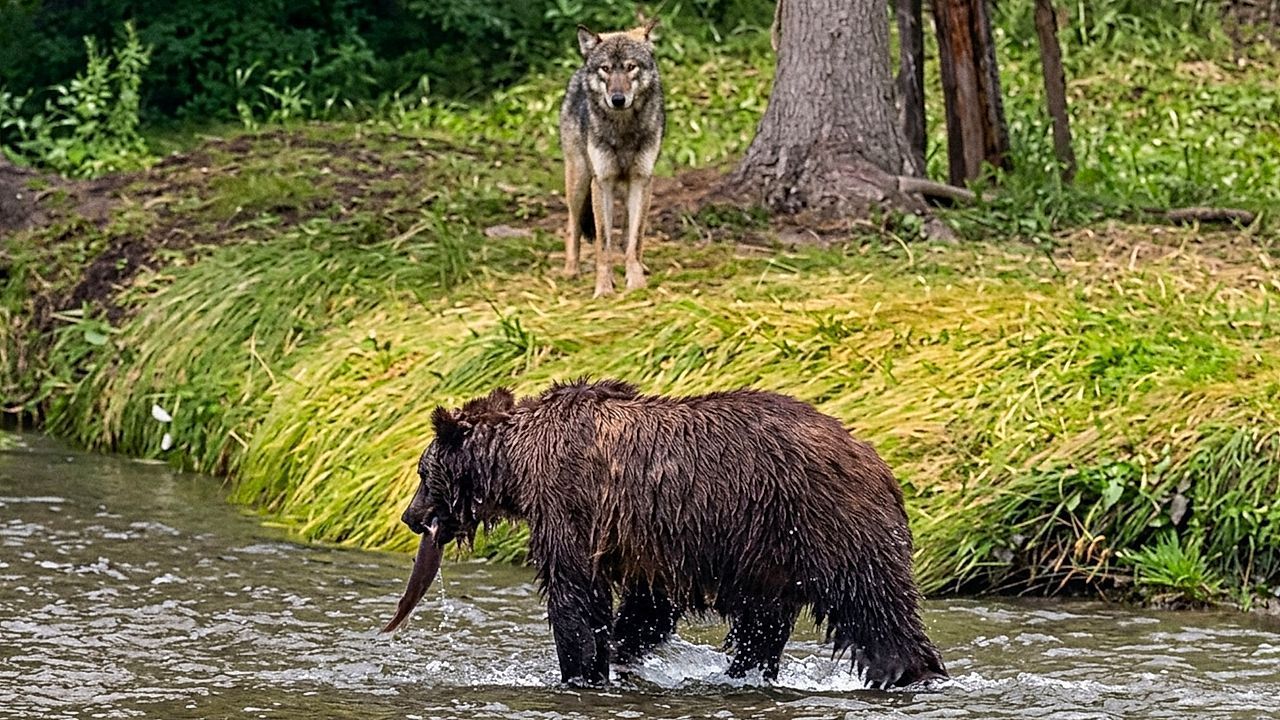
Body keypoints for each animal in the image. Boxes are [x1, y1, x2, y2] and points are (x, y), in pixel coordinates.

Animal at [559, 20, 665, 297]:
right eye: (605, 69)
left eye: (630, 67)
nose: (618, 100)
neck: (623, 128)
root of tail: (579, 69)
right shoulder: (602, 183)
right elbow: (603, 245)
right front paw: (604, 289)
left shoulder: (641, 180)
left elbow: (634, 240)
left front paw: (636, 283)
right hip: (579, 179)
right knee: (572, 225)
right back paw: (570, 271)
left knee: (629, 234)